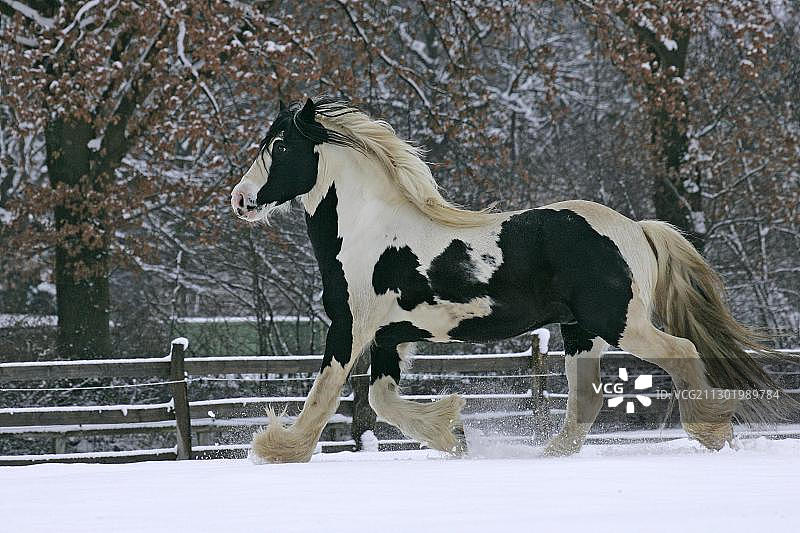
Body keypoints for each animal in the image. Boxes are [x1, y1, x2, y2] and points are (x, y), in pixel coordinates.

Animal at [231, 97, 791, 463]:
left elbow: (325, 395)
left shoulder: (351, 329)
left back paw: (711, 430)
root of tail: (635, 229)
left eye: (279, 146)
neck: (370, 231)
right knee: (586, 400)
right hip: (580, 332)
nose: (239, 200)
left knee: (681, 350)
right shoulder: (391, 338)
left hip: (617, 323)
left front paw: (278, 450)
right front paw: (454, 434)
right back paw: (548, 455)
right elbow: (381, 401)